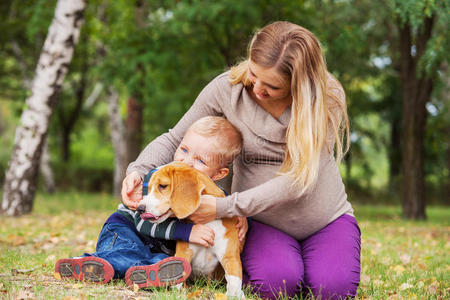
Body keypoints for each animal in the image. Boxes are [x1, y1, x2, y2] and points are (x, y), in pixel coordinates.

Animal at [137, 163, 244, 298]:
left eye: (162, 186)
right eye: (149, 188)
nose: (139, 208)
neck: (207, 222)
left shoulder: (230, 256)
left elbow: (234, 280)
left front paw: (235, 295)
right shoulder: (184, 253)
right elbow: (178, 274)